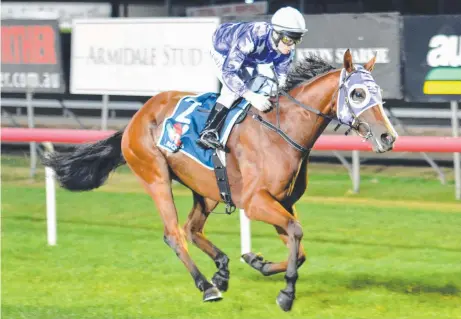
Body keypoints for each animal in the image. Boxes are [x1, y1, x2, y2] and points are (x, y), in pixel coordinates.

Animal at [42, 50, 396, 312]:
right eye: (357, 93)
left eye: (379, 93)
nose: (387, 137)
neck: (283, 130)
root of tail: (135, 118)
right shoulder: (255, 202)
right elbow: (296, 233)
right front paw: (286, 294)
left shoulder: (282, 202)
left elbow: (300, 248)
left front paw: (257, 261)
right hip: (155, 175)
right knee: (174, 234)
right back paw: (207, 286)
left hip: (208, 189)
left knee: (191, 228)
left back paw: (222, 268)